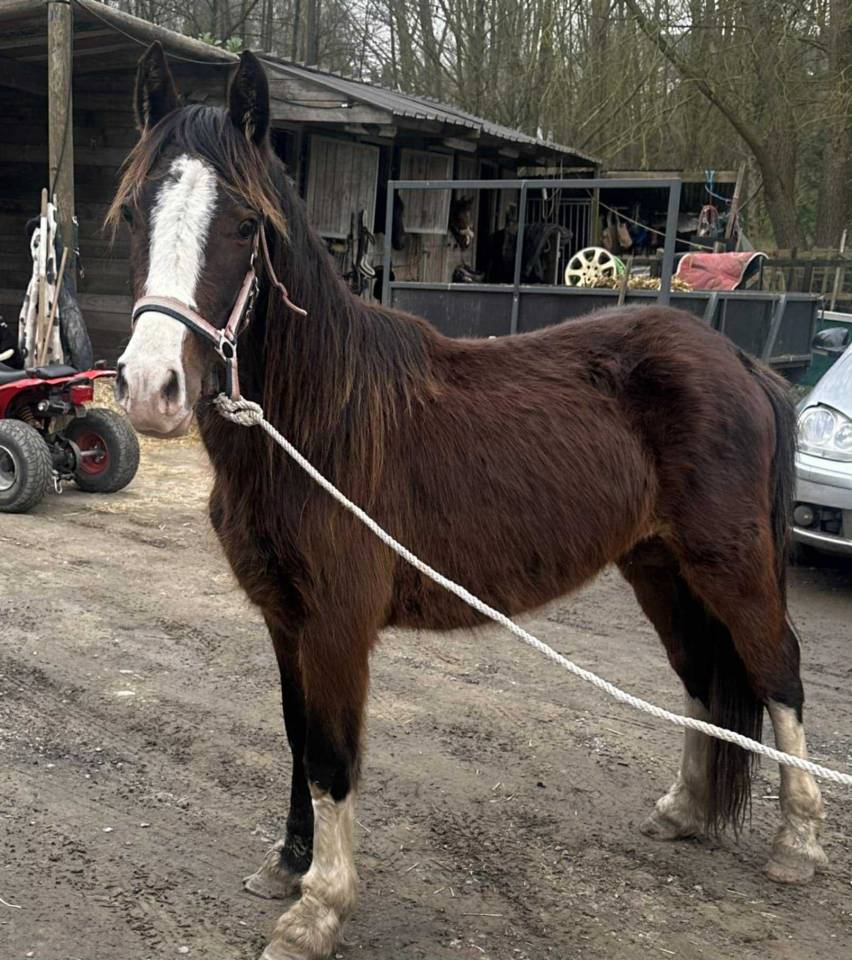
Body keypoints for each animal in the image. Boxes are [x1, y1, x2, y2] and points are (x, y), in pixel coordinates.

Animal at [111, 43, 827, 960]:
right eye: (136, 212)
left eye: (244, 224)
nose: (150, 388)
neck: (320, 427)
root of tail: (739, 360)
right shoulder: (283, 617)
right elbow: (297, 736)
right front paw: (289, 863)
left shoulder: (336, 624)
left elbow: (332, 753)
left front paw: (319, 907)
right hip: (658, 565)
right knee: (702, 672)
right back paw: (684, 810)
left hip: (730, 562)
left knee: (777, 673)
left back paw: (798, 842)